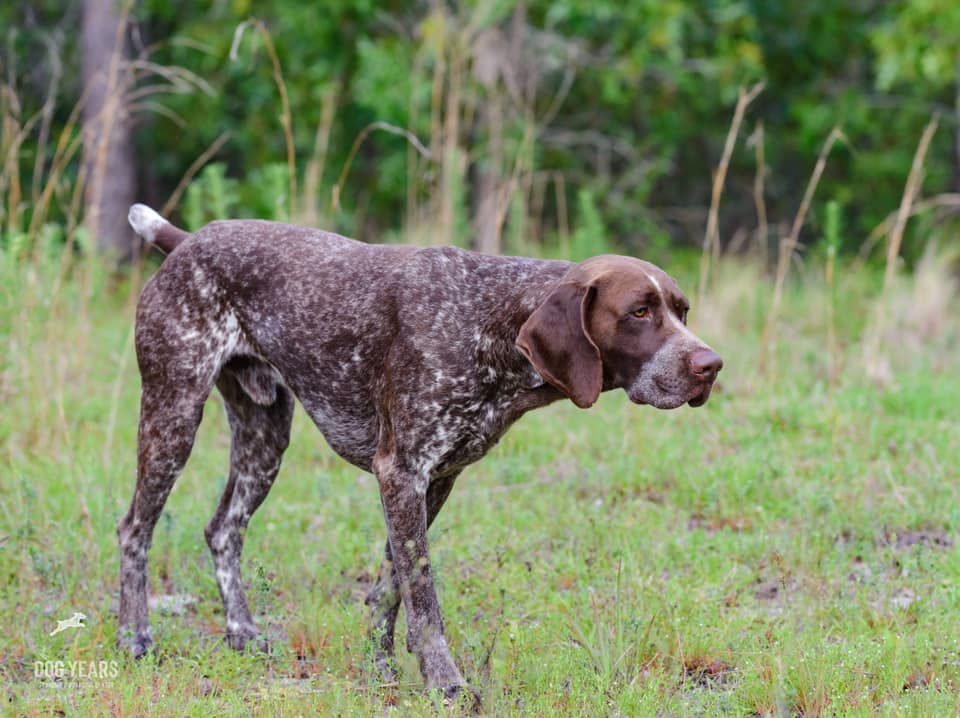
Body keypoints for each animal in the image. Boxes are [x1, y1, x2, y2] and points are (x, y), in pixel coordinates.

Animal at [117, 204, 722, 703]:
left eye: (682, 310)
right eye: (639, 312)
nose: (710, 365)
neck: (489, 321)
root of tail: (188, 240)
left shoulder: (437, 480)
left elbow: (391, 589)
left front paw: (378, 669)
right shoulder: (401, 472)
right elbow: (423, 598)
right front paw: (445, 683)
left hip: (263, 438)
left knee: (224, 528)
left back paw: (242, 633)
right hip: (173, 414)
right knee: (135, 529)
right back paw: (134, 637)